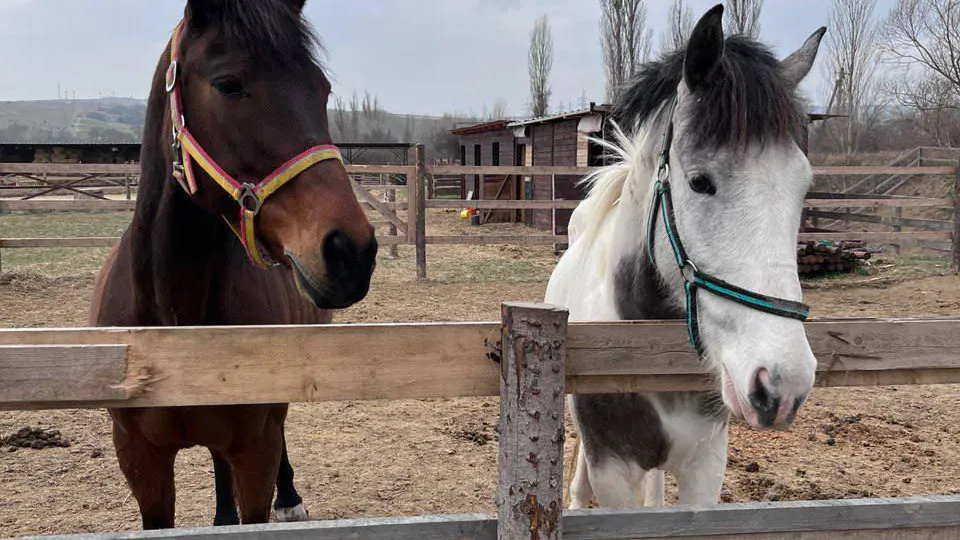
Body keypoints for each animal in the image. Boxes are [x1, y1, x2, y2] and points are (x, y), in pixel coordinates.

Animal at [88, 0, 376, 528]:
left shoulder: (255, 450)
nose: (351, 250)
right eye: (228, 84)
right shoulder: (140, 461)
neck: (173, 322)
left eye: (321, 88)